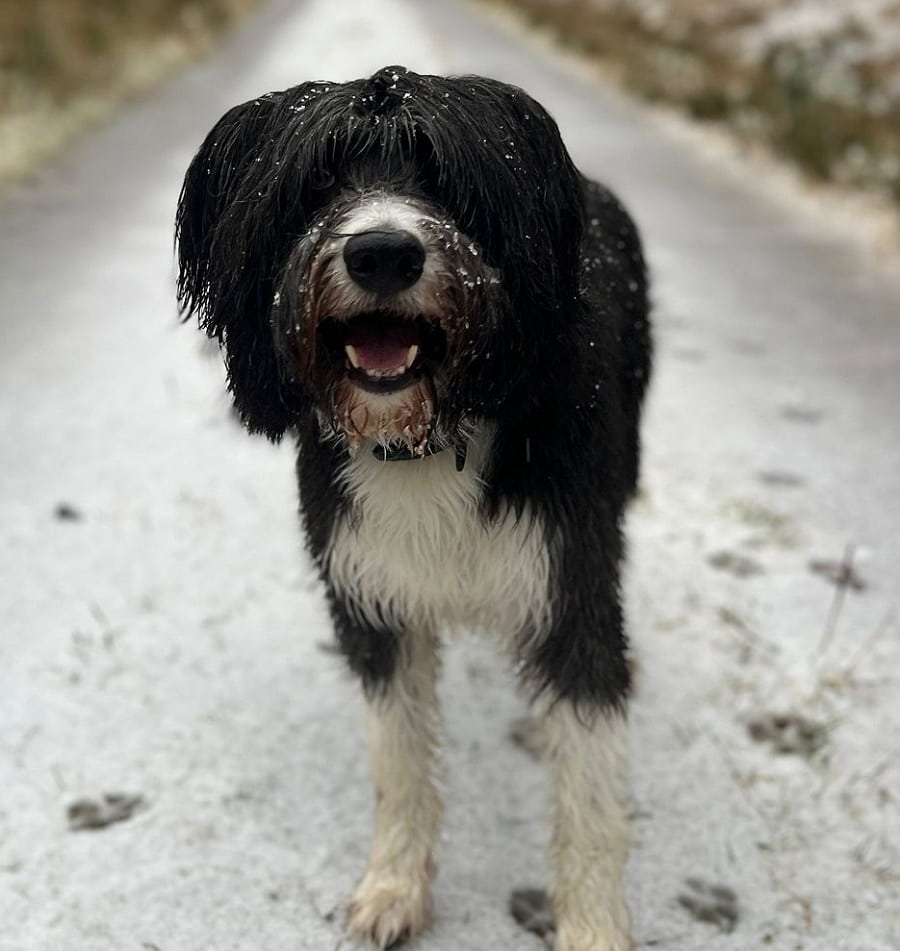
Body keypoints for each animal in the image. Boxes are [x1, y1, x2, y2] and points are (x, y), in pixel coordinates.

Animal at [176, 63, 652, 948]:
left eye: (445, 177)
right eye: (319, 179)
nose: (383, 251)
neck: (429, 436)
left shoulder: (568, 576)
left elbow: (591, 791)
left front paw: (594, 925)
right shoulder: (373, 591)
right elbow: (397, 762)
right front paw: (393, 886)